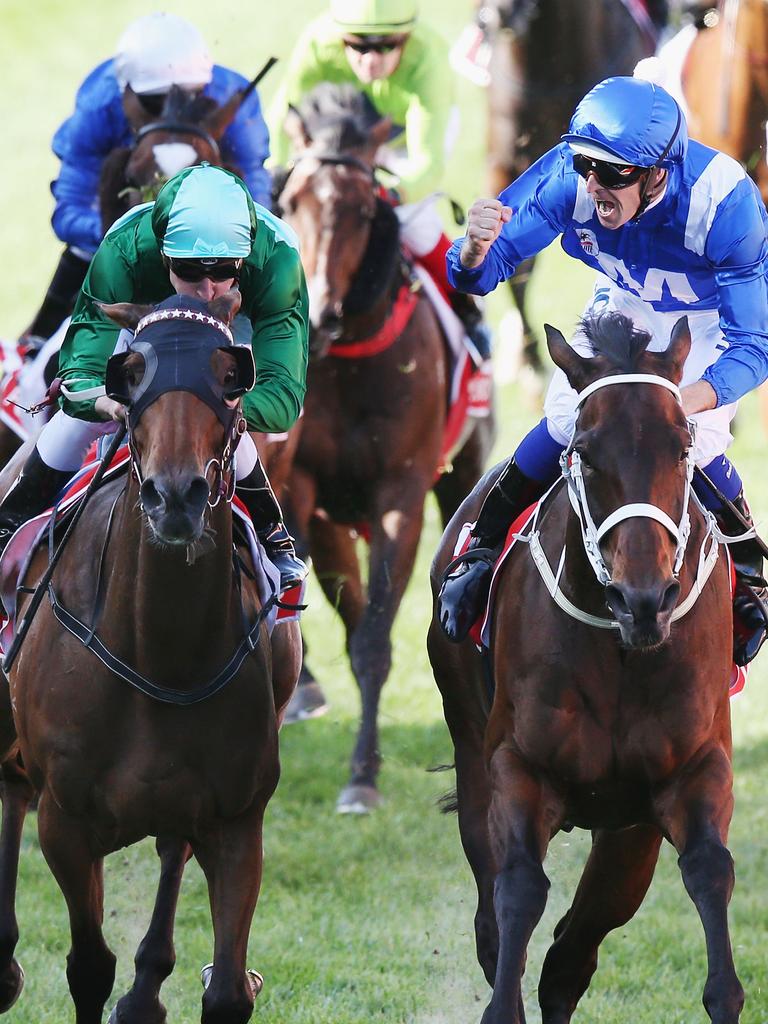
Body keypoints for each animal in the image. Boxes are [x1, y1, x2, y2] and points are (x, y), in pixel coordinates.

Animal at [0, 290, 303, 1024]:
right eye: (130, 375)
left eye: (230, 377)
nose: (175, 495)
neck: (161, 655)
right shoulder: (66, 822)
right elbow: (88, 967)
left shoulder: (235, 819)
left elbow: (227, 991)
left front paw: (166, 985)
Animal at [280, 83, 495, 811]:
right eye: (293, 199)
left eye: (361, 206)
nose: (320, 312)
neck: (348, 361)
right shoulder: (305, 490)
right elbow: (346, 623)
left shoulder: (399, 490)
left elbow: (374, 637)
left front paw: (362, 777)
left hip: (460, 475)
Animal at [428, 313, 745, 1024]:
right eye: (587, 452)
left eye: (682, 450)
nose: (643, 598)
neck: (623, 650)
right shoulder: (517, 766)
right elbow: (518, 892)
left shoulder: (692, 769)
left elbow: (710, 869)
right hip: (470, 748)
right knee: (501, 921)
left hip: (626, 832)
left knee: (573, 950)